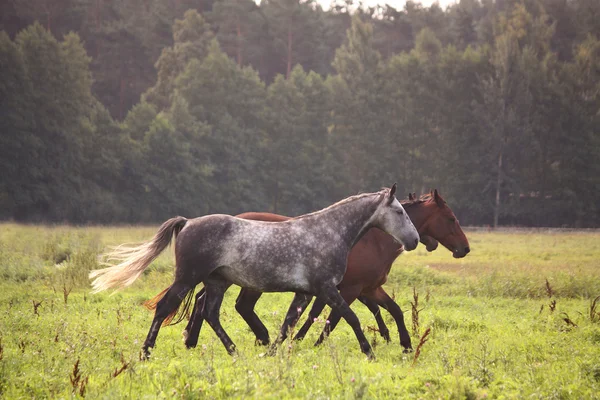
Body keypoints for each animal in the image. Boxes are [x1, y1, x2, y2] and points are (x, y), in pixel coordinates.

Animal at [90, 185, 418, 360]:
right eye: (399, 211)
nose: (414, 241)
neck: (328, 232)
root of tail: (188, 223)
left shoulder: (305, 292)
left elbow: (288, 324)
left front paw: (269, 353)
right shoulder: (328, 289)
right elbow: (350, 318)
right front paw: (370, 352)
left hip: (217, 282)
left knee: (209, 314)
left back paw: (234, 351)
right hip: (188, 278)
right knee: (164, 308)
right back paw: (146, 352)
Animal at [180, 190, 472, 350]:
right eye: (451, 219)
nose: (464, 249)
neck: (373, 240)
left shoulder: (368, 289)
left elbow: (392, 310)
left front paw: (404, 343)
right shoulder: (350, 289)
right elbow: (334, 318)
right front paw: (310, 342)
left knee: (204, 301)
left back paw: (192, 339)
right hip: (244, 282)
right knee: (236, 306)